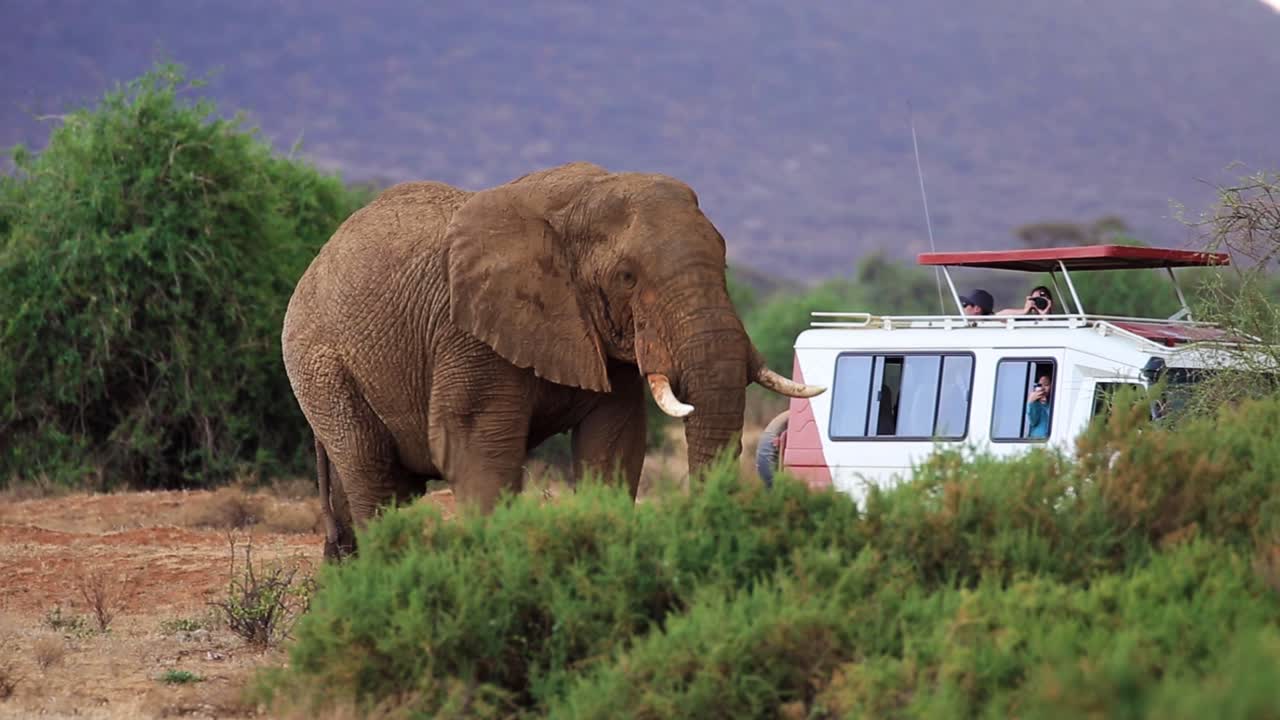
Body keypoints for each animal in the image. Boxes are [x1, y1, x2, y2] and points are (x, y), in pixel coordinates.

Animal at [281, 161, 823, 558]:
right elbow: (476, 451)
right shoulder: (469, 333)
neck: (575, 201)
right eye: (627, 276)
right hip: (320, 367)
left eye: (725, 261)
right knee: (373, 475)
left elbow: (614, 447)